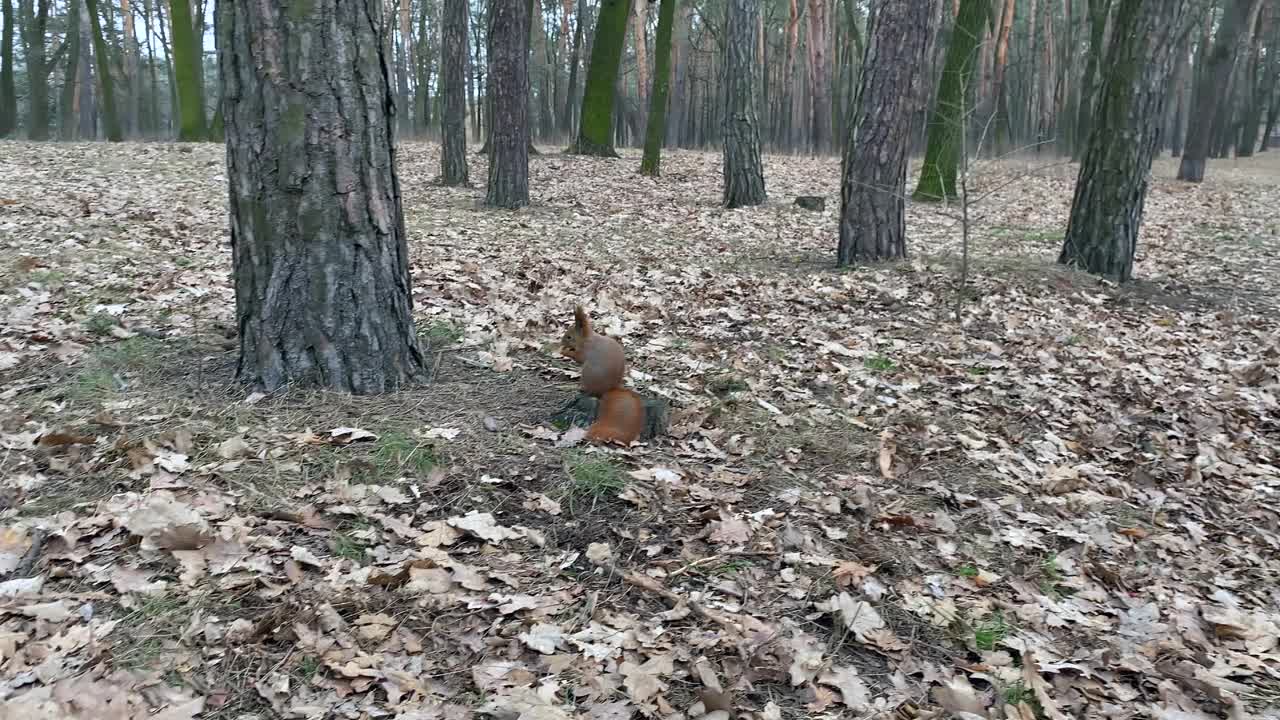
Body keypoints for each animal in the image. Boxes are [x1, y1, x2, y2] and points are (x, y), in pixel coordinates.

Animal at [560, 303, 645, 443]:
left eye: (569, 337)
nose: (561, 343)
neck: (586, 339)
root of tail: (608, 389)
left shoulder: (585, 351)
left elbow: (578, 357)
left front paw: (564, 352)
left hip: (587, 374)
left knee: (589, 392)